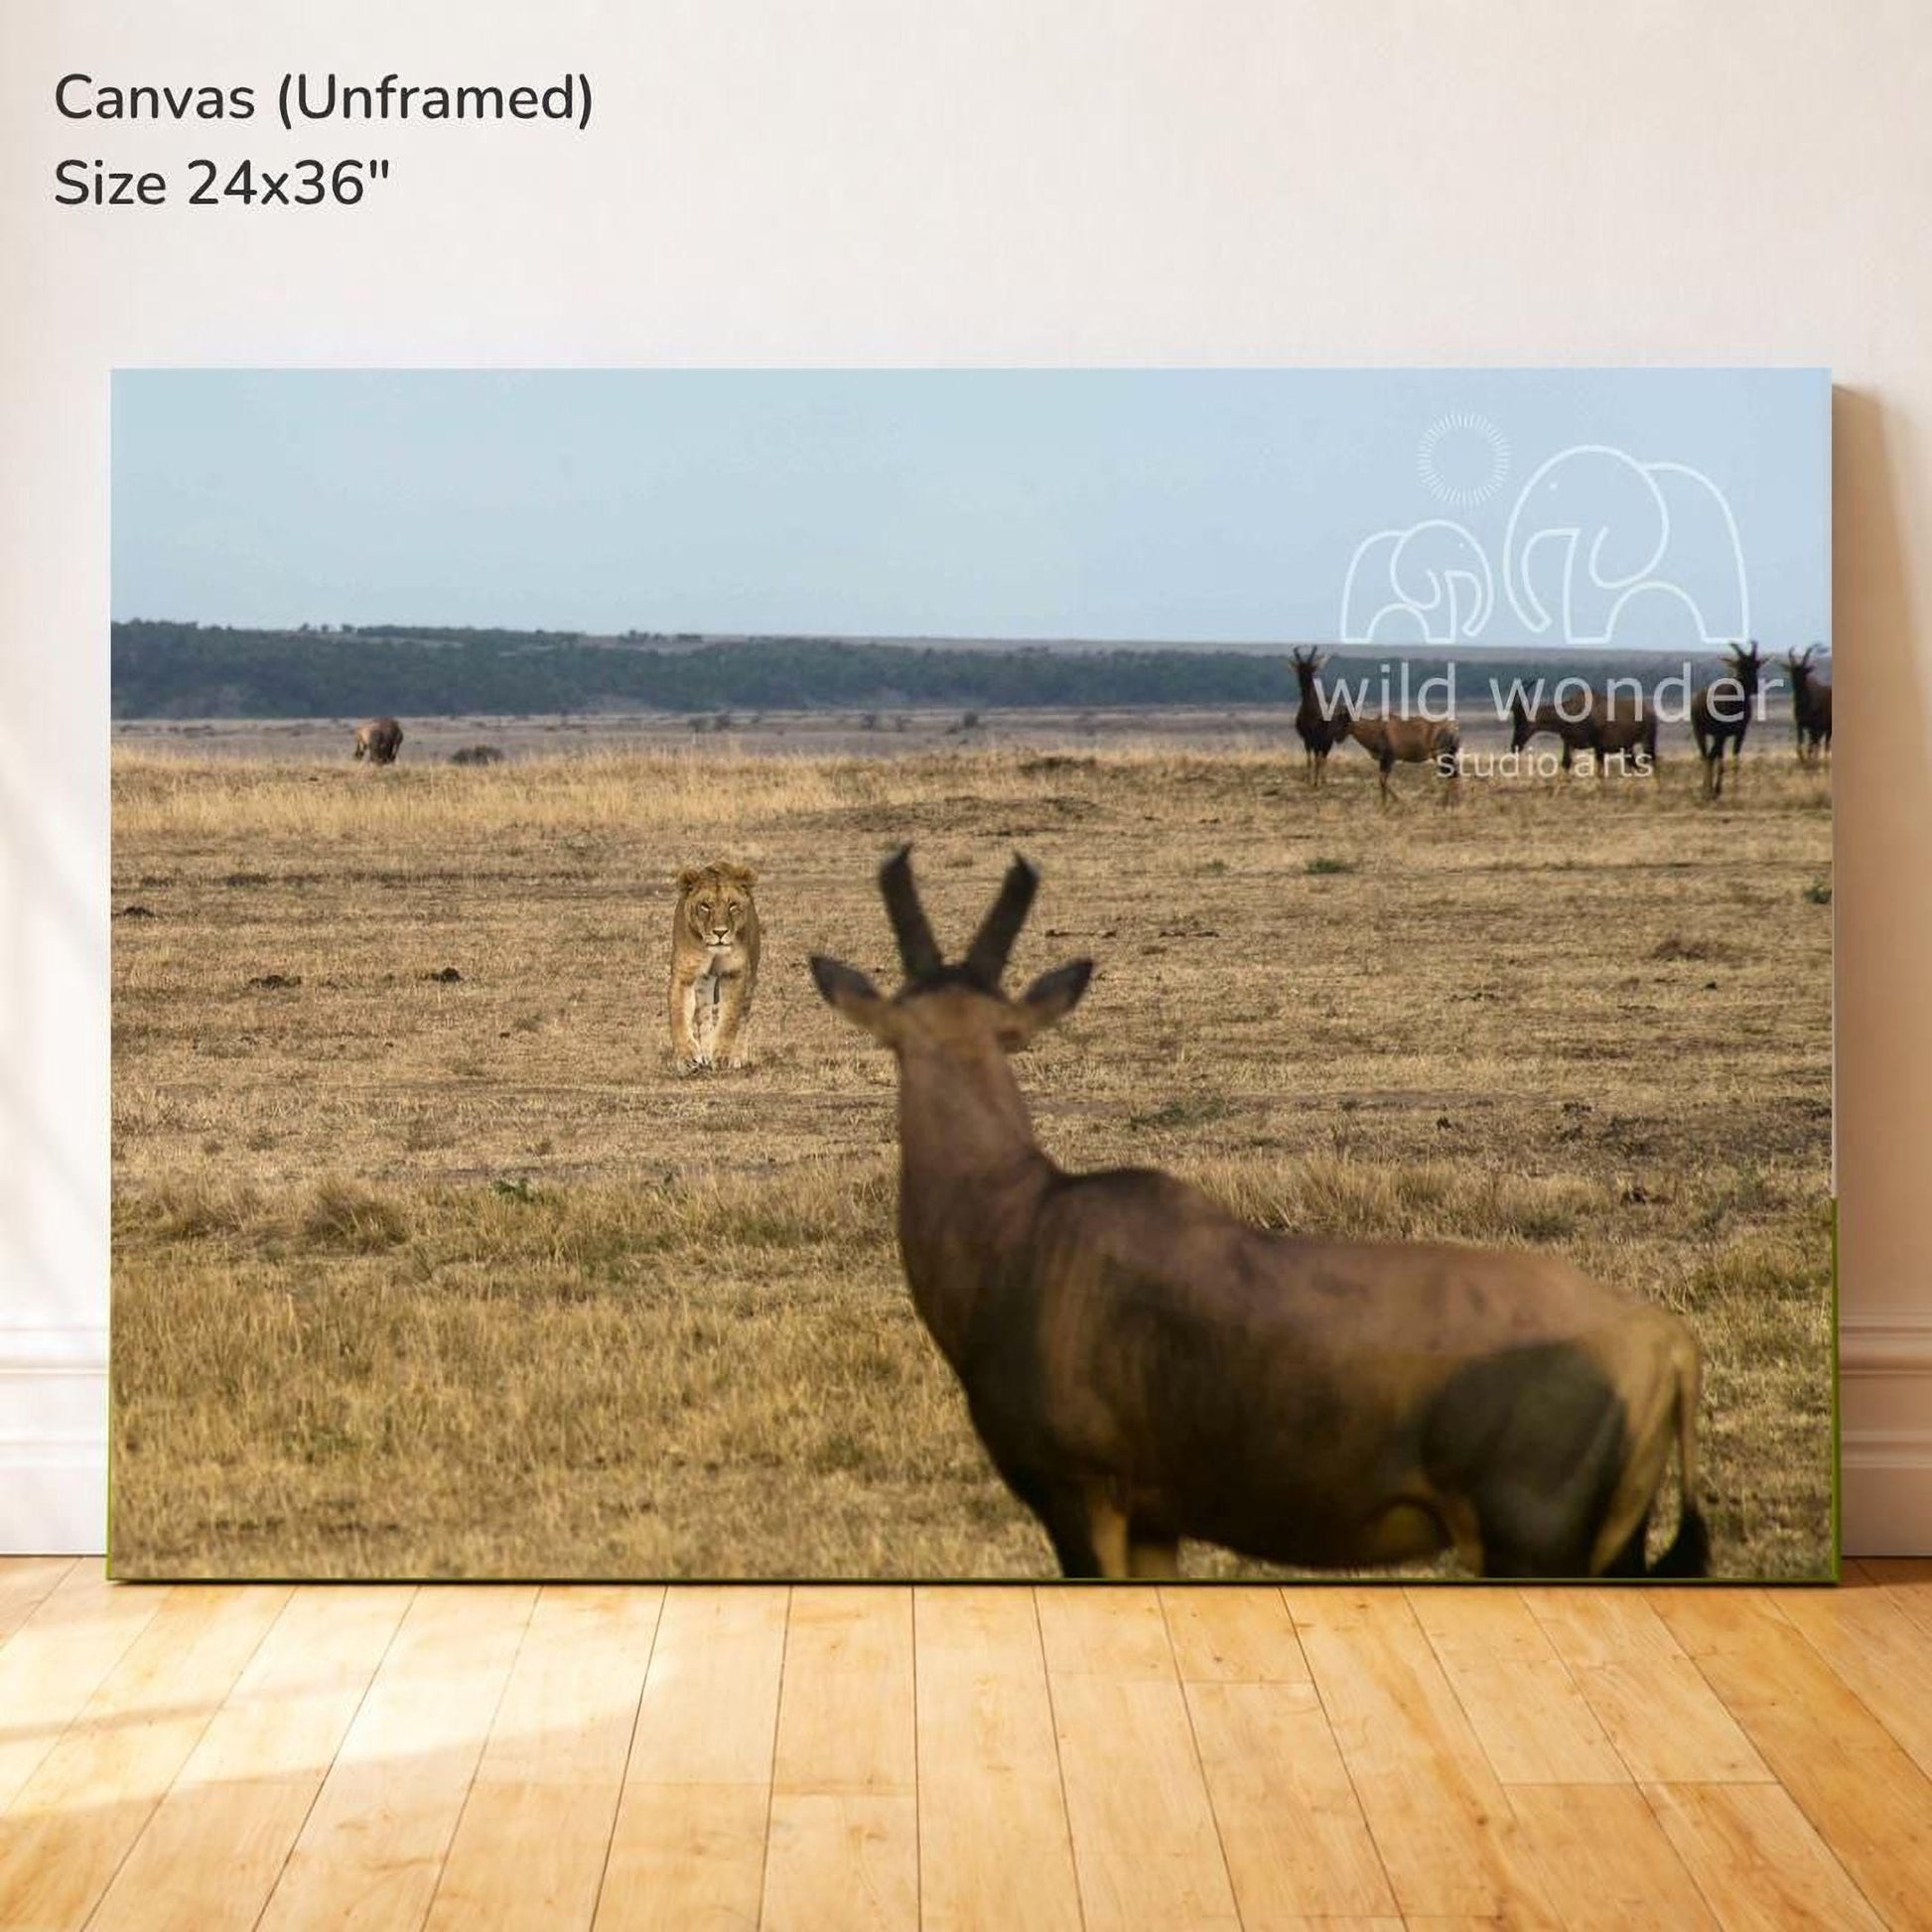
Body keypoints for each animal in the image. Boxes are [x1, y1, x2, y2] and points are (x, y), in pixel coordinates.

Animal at [668, 861, 761, 1069]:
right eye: (705, 906)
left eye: (732, 905)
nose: (720, 932)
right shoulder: (684, 974)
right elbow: (679, 1015)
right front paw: (687, 1057)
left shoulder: (735, 973)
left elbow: (730, 1018)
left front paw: (722, 1055)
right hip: (704, 982)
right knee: (704, 1014)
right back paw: (705, 1051)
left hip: (751, 976)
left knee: (744, 1015)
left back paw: (737, 1056)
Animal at [1289, 648, 1349, 788]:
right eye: (1299, 669)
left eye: (1312, 669)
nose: (1304, 685)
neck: (1310, 711)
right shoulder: (1307, 740)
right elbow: (1310, 760)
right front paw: (1309, 780)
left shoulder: (1320, 738)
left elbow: (1318, 760)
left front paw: (1317, 782)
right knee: (1320, 757)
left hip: (1327, 740)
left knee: (1324, 758)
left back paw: (1323, 780)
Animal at [1689, 642, 1763, 799]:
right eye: (1740, 665)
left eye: (1756, 665)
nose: (1755, 688)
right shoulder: (1721, 734)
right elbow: (1717, 759)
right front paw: (1714, 790)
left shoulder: (1740, 733)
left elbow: (1735, 758)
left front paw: (1735, 790)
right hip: (1700, 732)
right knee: (1706, 756)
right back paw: (1707, 790)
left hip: (1717, 736)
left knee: (1712, 756)